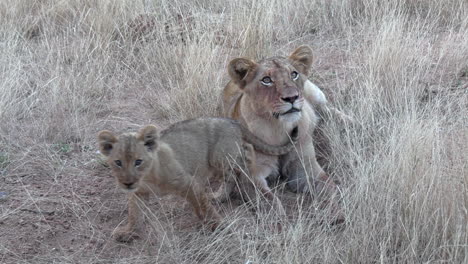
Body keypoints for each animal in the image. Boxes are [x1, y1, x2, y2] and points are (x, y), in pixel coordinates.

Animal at [219, 46, 344, 223]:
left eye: (293, 74)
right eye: (266, 80)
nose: (292, 97)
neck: (278, 129)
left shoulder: (306, 167)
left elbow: (329, 187)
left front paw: (337, 213)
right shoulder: (251, 178)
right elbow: (271, 204)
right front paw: (282, 225)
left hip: (315, 95)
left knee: (328, 110)